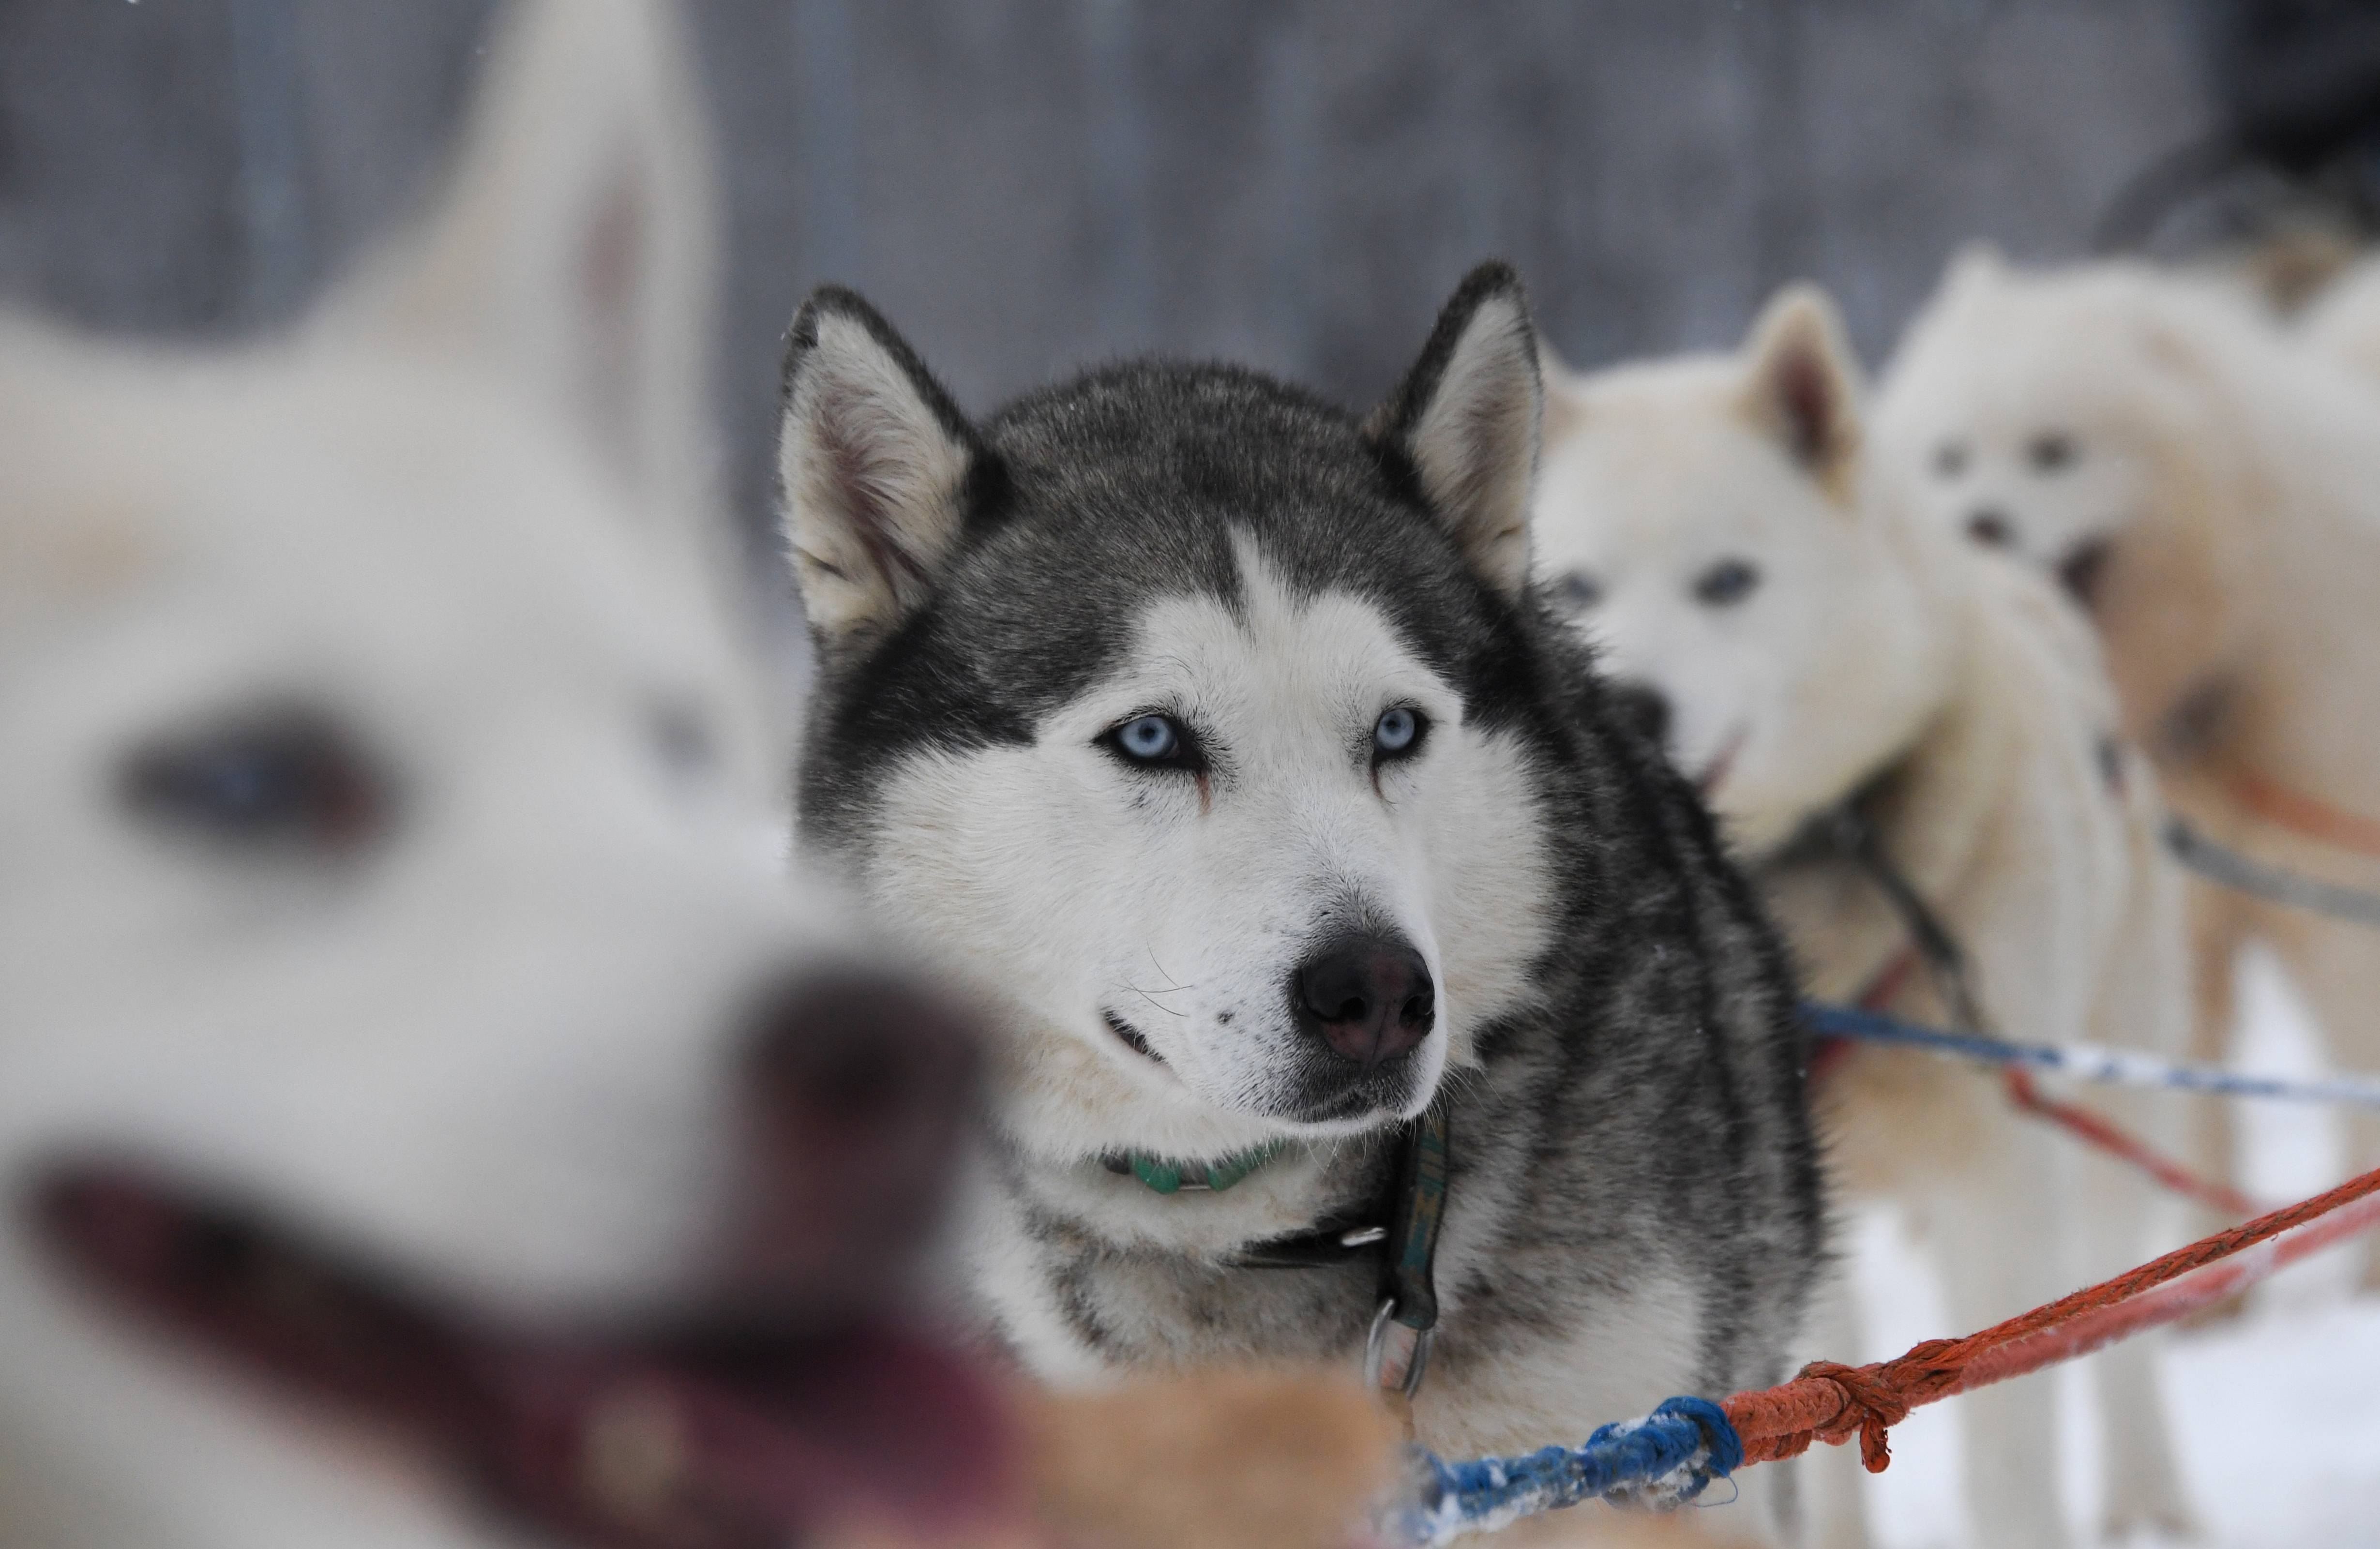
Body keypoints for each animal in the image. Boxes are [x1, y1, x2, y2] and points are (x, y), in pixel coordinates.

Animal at [1533, 287, 2199, 1549]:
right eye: (1575, 590)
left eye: (1726, 581)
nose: (1632, 699)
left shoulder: (2000, 1186)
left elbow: (2009, 1449)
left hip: (2104, 1097)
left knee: (2118, 1314)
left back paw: (2150, 1499)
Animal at [1875, 248, 2380, 1285]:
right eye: (1950, 458)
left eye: (2053, 451)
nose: (1979, 522)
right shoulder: (2188, 927)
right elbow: (2194, 1113)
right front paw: (2219, 1290)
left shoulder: (2331, 904)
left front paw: (2356, 1273)